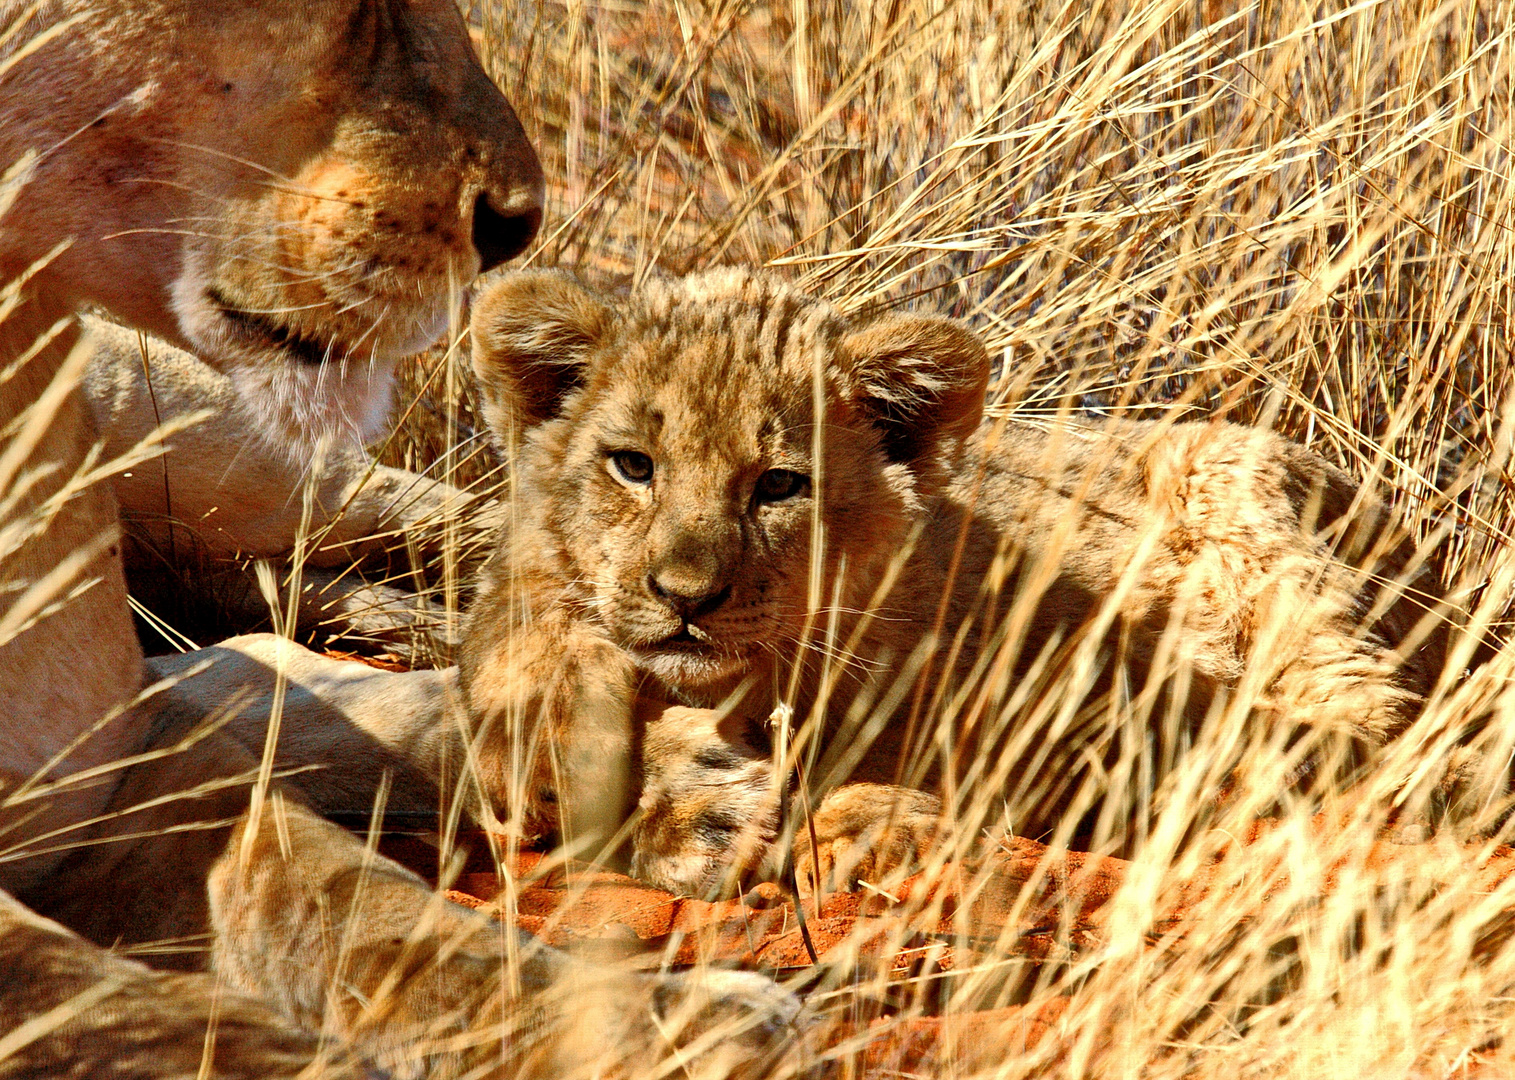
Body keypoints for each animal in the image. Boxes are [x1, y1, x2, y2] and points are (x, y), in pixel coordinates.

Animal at [0, 4, 799, 1072]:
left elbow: (363, 904)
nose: (512, 223)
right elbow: (125, 1010)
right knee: (258, 663)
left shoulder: (120, 776)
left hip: (216, 443)